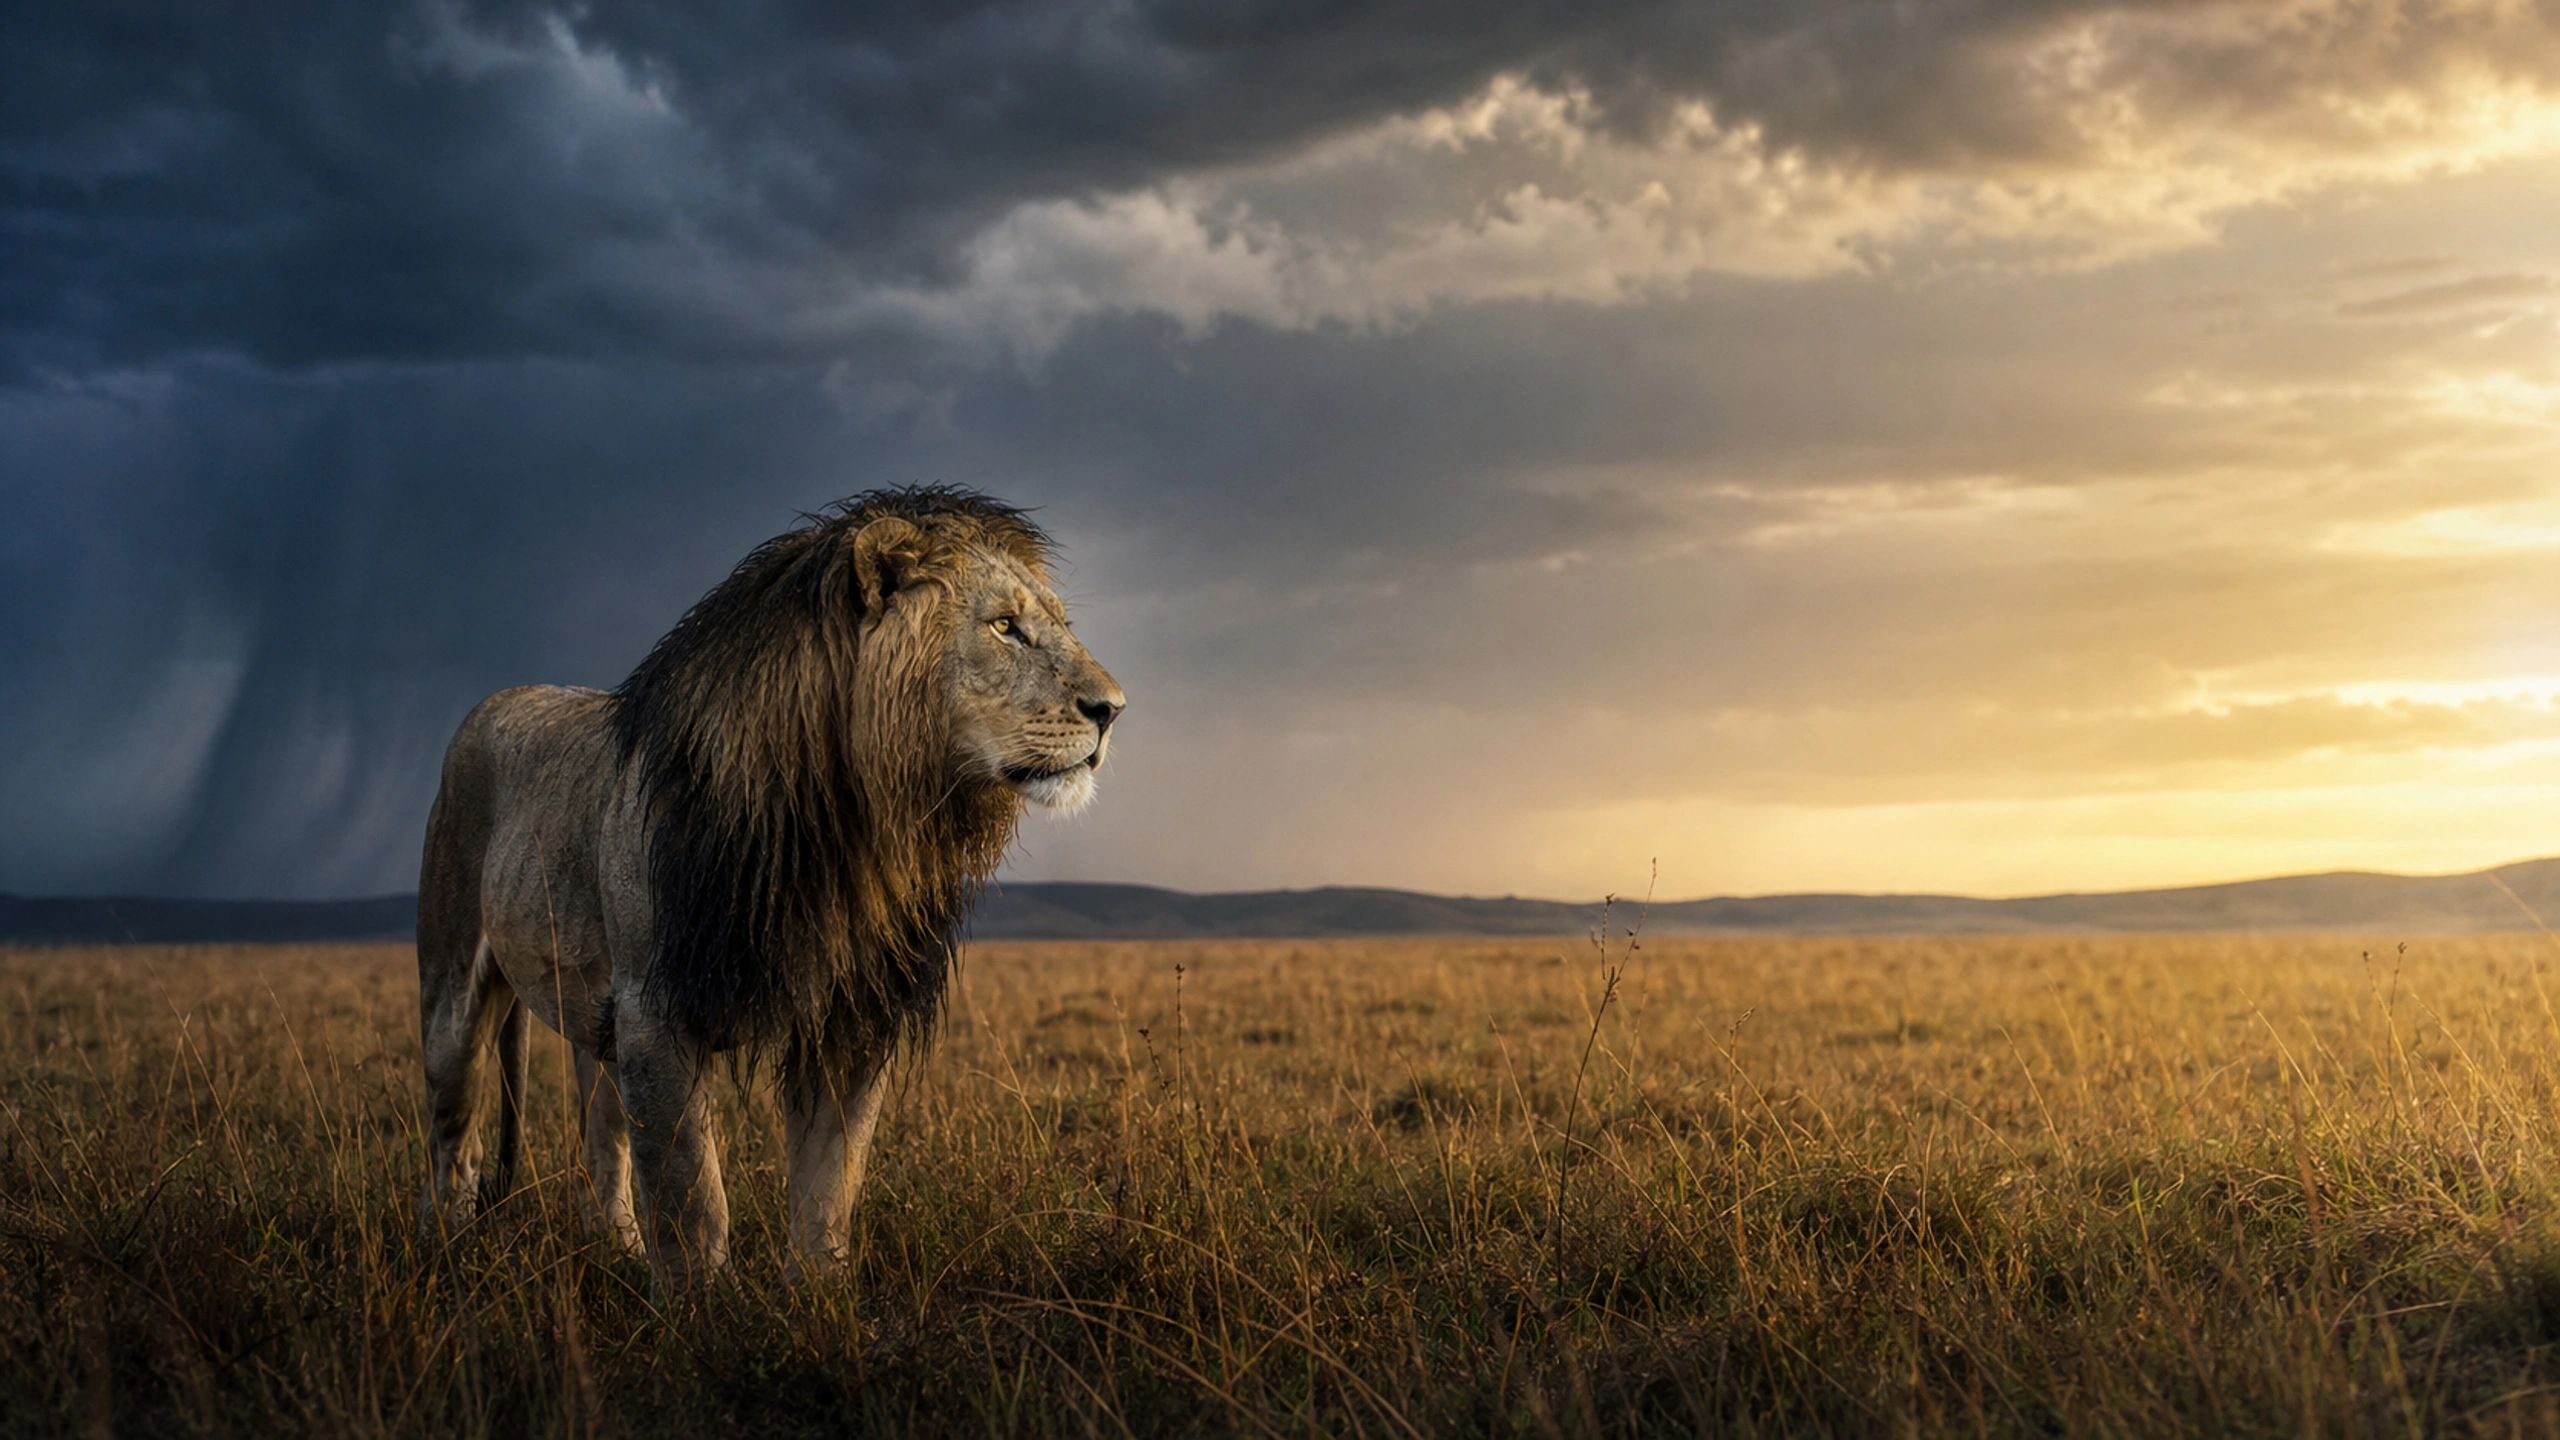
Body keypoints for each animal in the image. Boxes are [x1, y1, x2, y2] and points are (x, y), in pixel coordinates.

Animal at [415, 486, 1124, 1285]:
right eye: (1005, 626)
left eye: (1060, 625)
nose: (1114, 708)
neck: (850, 824)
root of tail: (500, 698)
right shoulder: (655, 1012)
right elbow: (691, 1193)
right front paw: (702, 1307)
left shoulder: (851, 1017)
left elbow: (829, 1180)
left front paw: (820, 1297)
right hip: (455, 988)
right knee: (453, 1138)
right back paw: (448, 1256)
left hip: (594, 1023)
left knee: (601, 1145)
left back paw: (617, 1254)